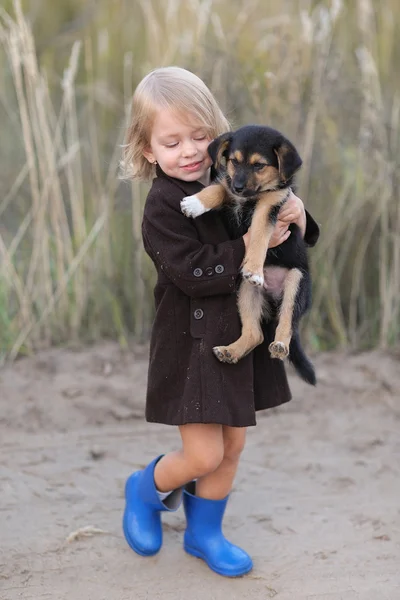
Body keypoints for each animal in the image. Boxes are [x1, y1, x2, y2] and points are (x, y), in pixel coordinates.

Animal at [180, 125, 316, 384]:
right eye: (234, 161)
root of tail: (273, 297)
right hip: (244, 291)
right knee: (255, 334)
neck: (250, 197)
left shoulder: (271, 205)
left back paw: (280, 345)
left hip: (296, 281)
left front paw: (253, 268)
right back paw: (230, 351)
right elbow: (217, 188)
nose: (239, 187)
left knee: (287, 321)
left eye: (259, 165)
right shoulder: (228, 188)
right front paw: (195, 203)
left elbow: (260, 235)